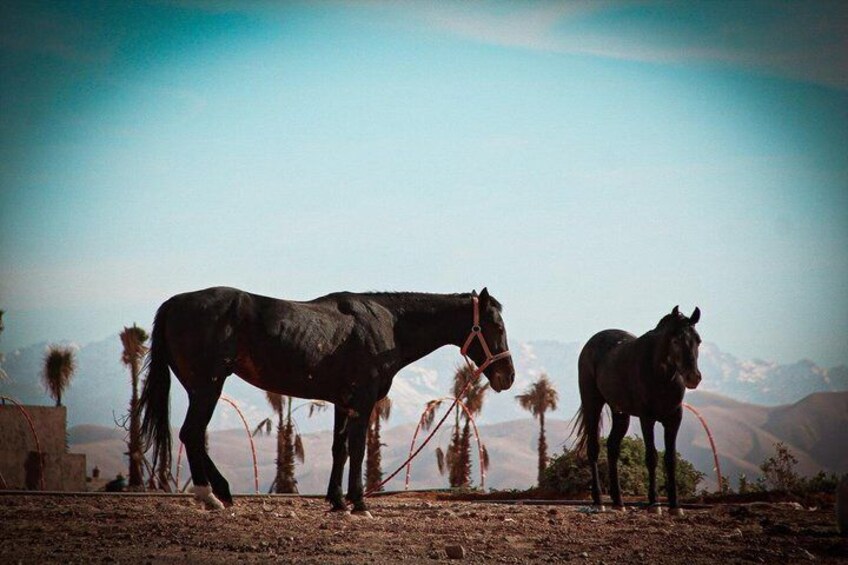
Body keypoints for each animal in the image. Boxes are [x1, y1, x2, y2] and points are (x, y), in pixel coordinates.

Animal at [138, 286, 514, 513]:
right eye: (496, 326)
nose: (507, 376)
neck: (387, 325)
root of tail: (174, 303)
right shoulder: (362, 402)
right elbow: (358, 449)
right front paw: (359, 503)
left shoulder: (341, 402)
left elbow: (340, 449)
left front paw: (337, 502)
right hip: (208, 387)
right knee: (191, 433)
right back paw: (211, 496)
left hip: (199, 388)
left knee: (193, 435)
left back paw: (222, 492)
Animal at [572, 306, 702, 516]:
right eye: (675, 340)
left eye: (698, 340)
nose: (693, 377)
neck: (661, 375)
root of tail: (592, 342)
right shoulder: (646, 418)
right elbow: (651, 457)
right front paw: (654, 504)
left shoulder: (674, 418)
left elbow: (670, 459)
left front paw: (675, 506)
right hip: (592, 403)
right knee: (593, 449)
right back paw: (599, 501)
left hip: (620, 414)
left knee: (612, 448)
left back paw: (618, 501)